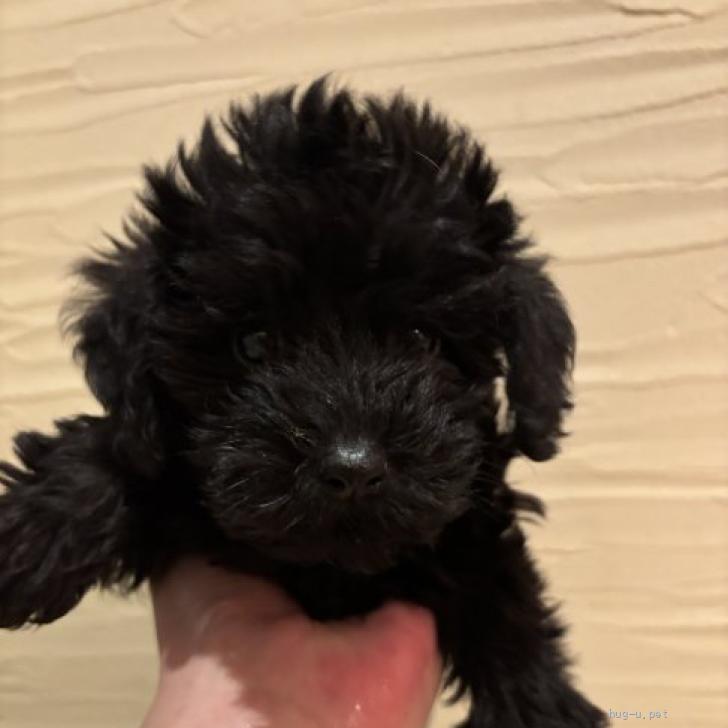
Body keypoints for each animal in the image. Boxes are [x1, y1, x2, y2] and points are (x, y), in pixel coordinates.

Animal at [0, 76, 606, 727]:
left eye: (423, 340)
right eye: (253, 343)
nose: (353, 467)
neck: (329, 568)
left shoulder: (472, 517)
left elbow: (506, 599)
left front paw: (542, 705)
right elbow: (129, 451)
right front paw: (33, 529)